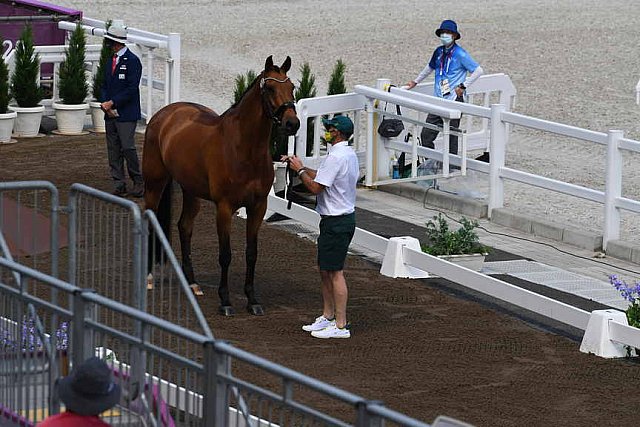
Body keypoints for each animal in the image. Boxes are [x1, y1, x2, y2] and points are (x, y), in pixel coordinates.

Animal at [142, 56, 300, 318]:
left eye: (292, 87)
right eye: (269, 88)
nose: (292, 123)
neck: (244, 149)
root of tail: (166, 113)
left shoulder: (258, 207)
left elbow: (251, 253)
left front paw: (252, 300)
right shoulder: (225, 208)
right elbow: (225, 255)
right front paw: (225, 301)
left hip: (191, 191)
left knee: (184, 227)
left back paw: (192, 283)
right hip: (154, 184)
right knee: (150, 221)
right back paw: (148, 277)